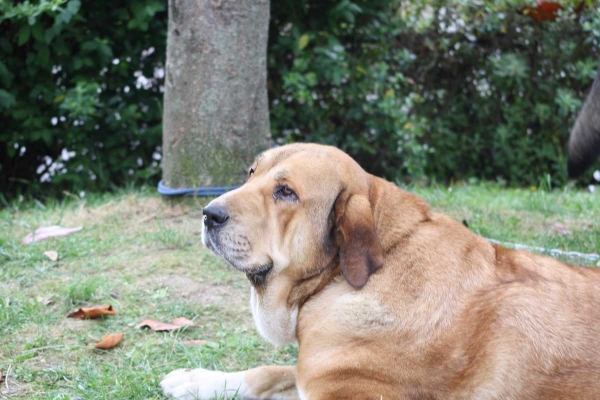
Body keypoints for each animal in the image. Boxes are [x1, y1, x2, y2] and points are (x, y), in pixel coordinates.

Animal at [162, 143, 600, 396]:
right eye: (252, 174)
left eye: (286, 192)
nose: (209, 214)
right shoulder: (314, 372)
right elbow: (269, 371)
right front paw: (196, 380)